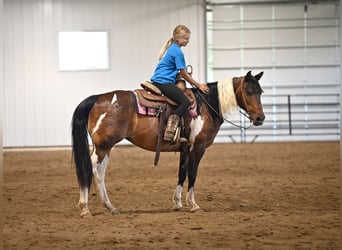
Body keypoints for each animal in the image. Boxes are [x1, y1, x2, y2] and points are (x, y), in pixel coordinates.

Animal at [71, 71, 264, 217]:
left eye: (260, 91)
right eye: (248, 92)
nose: (260, 118)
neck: (206, 107)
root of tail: (97, 98)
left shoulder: (185, 149)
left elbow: (182, 173)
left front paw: (177, 203)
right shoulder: (198, 147)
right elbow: (192, 174)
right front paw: (193, 204)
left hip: (105, 147)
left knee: (100, 172)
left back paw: (110, 207)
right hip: (103, 146)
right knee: (92, 169)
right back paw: (85, 208)